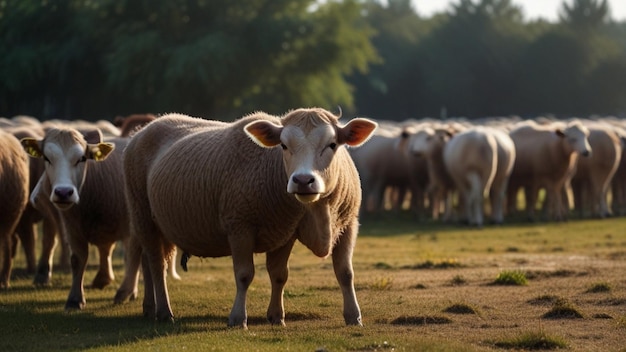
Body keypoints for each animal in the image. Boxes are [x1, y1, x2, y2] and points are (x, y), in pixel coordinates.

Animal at [118, 107, 376, 328]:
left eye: (332, 144)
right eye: (283, 146)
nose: (303, 180)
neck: (317, 209)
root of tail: (146, 128)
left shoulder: (309, 229)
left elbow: (334, 273)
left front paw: (351, 316)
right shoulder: (240, 226)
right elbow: (244, 275)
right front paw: (237, 318)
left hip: (157, 224)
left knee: (148, 262)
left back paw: (149, 308)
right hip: (141, 213)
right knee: (156, 265)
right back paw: (163, 311)